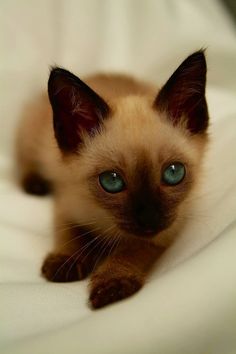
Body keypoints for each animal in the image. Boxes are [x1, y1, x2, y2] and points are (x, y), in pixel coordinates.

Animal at [16, 50, 208, 310]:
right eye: (112, 181)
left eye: (173, 173)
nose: (149, 219)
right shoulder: (66, 202)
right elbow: (69, 233)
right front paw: (66, 262)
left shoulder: (167, 228)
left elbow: (133, 249)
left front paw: (112, 283)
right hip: (29, 133)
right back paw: (35, 185)